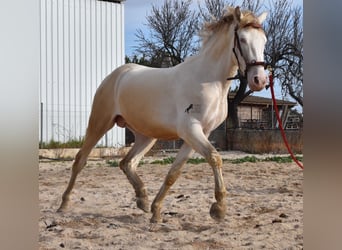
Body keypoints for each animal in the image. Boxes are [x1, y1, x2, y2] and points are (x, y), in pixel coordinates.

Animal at [57, 6, 268, 223]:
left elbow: (174, 173)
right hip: (100, 123)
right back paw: (64, 204)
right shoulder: (190, 130)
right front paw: (219, 208)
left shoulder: (200, 134)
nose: (259, 80)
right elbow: (215, 158)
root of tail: (116, 75)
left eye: (264, 40)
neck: (209, 81)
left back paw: (142, 199)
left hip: (146, 136)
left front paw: (156, 210)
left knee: (127, 163)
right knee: (80, 160)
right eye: (242, 39)